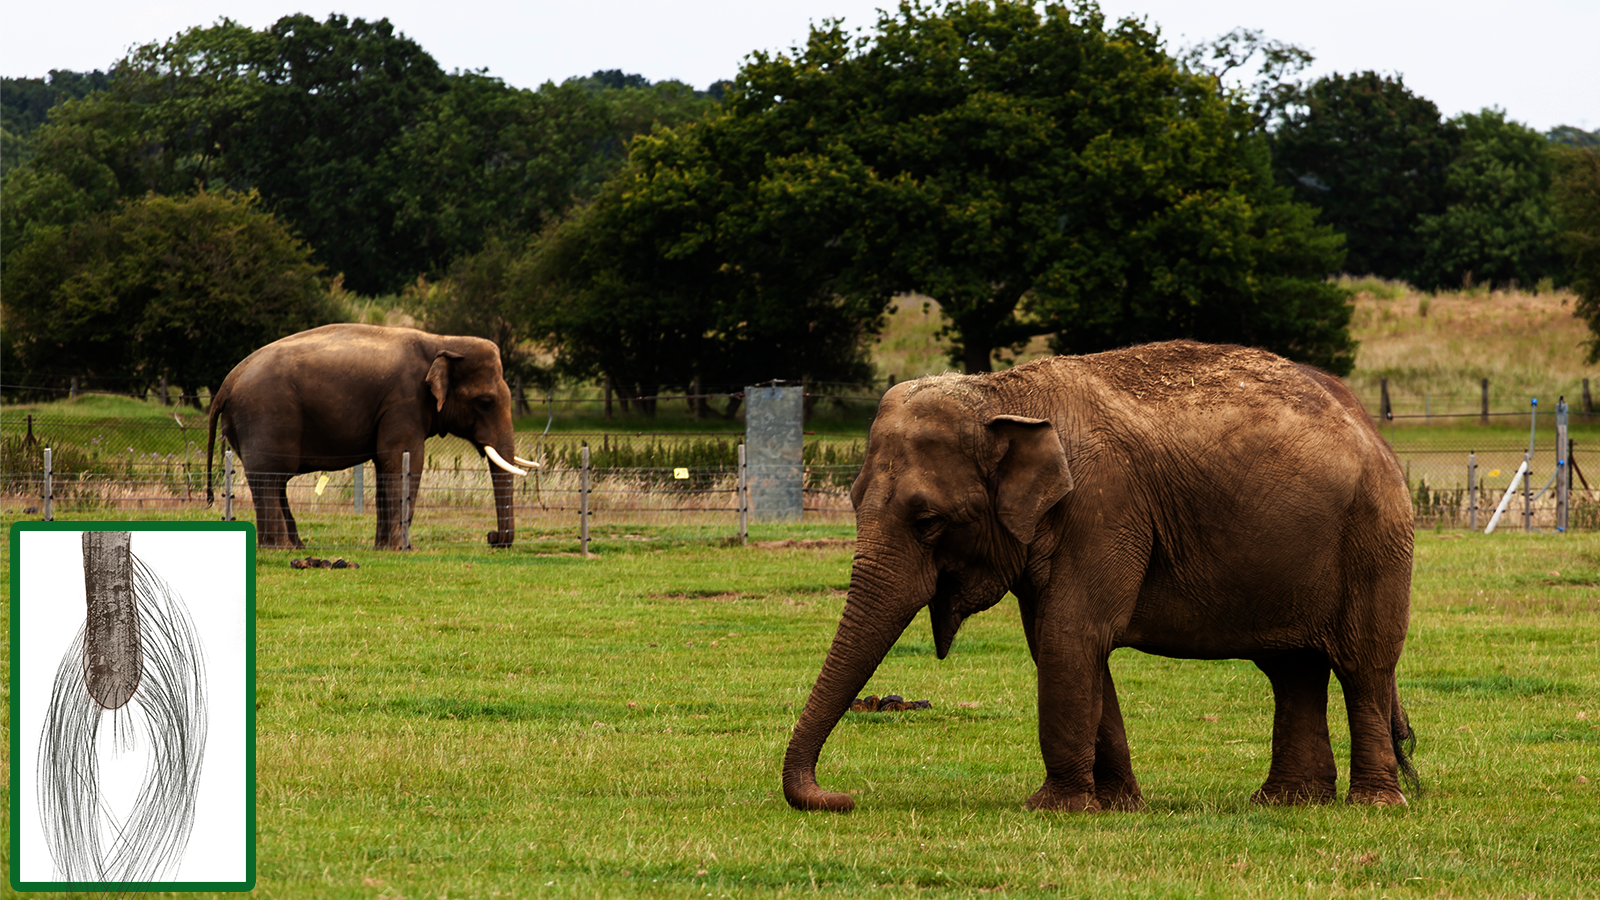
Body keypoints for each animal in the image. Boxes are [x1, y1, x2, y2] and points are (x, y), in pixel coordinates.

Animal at [206, 324, 539, 550]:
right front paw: (403, 549)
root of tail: (227, 382)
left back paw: (295, 547)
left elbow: (387, 464)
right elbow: (406, 458)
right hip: (266, 415)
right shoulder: (404, 400)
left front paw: (384, 548)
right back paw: (281, 548)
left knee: (275, 481)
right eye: (485, 403)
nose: (492, 538)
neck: (442, 341)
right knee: (270, 476)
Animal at [783, 340, 1417, 813]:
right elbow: (1060, 641)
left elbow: (1073, 634)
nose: (844, 796)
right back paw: (1286, 801)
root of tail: (1368, 425)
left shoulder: (1104, 504)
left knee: (1362, 664)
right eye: (854, 500)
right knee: (1293, 670)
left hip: (1375, 539)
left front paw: (1052, 808)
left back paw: (1372, 804)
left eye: (930, 521)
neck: (1002, 391)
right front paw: (1115, 805)